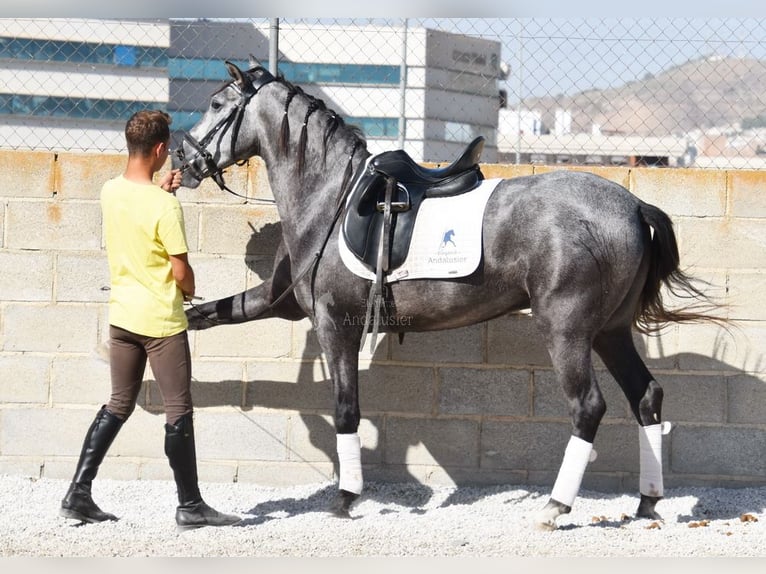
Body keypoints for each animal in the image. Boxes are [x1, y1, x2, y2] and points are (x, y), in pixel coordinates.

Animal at [172, 60, 719, 530]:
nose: (183, 159)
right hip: (610, 331)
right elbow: (210, 313)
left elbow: (346, 409)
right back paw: (647, 501)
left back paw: (555, 506)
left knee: (588, 406)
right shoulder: (279, 300)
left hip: (567, 330)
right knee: (645, 396)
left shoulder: (334, 324)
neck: (330, 196)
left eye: (218, 104)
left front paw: (346, 497)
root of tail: (633, 206)